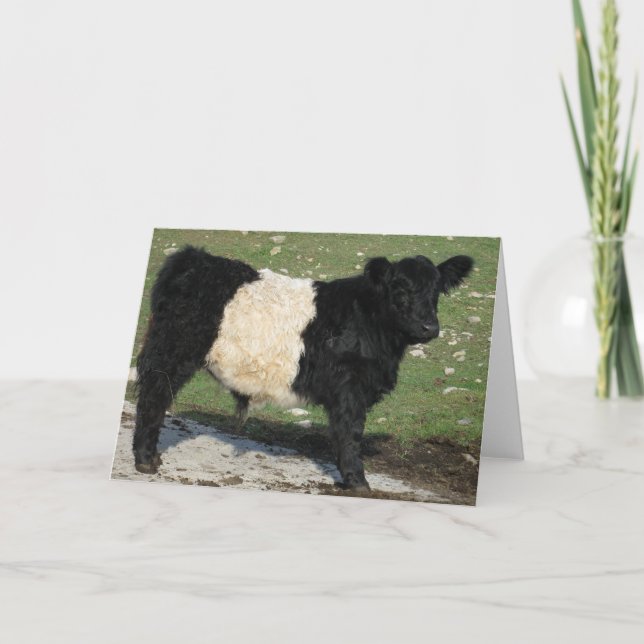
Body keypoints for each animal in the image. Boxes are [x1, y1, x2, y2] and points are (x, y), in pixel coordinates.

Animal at [133, 246, 473, 491]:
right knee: (153, 397)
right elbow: (350, 432)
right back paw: (146, 460)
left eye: (436, 291)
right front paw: (358, 482)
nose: (429, 327)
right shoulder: (350, 387)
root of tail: (193, 257)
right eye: (401, 290)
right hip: (172, 352)